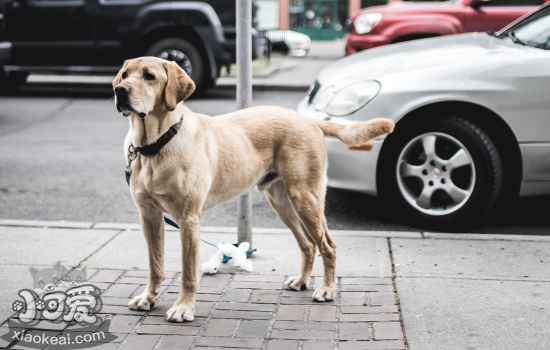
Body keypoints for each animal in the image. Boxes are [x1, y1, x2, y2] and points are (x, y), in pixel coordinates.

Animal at [113, 57, 396, 322]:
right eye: (125, 75)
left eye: (149, 76)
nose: (119, 90)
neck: (154, 146)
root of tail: (307, 119)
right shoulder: (149, 216)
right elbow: (155, 264)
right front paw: (148, 298)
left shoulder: (188, 218)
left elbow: (188, 272)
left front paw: (184, 308)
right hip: (283, 202)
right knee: (307, 245)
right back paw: (302, 281)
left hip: (306, 197)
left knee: (327, 245)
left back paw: (327, 289)